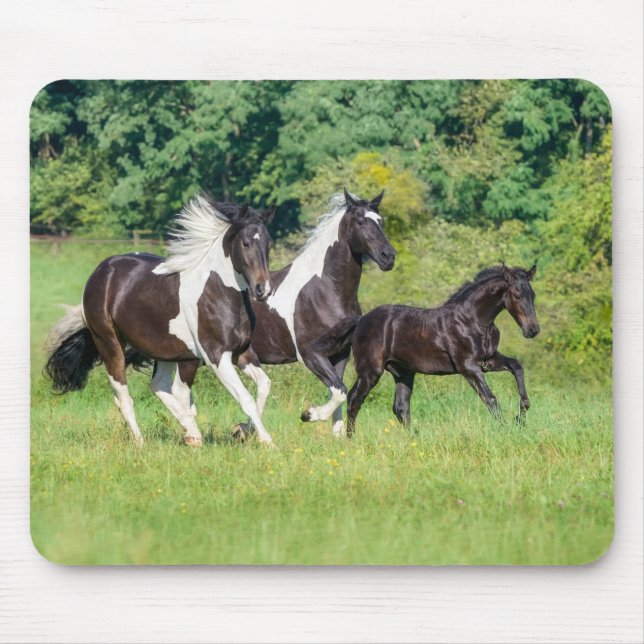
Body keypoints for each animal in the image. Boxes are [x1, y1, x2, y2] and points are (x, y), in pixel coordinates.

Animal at [45, 194, 277, 447]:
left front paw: (242, 430)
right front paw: (268, 442)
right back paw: (143, 443)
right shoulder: (216, 356)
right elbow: (245, 397)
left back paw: (191, 434)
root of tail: (101, 271)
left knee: (159, 386)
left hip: (167, 350)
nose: (263, 290)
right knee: (125, 396)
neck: (218, 292)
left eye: (268, 244)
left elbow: (264, 387)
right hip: (109, 343)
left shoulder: (242, 351)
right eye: (245, 243)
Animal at [233, 188, 397, 439]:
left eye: (381, 221)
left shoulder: (340, 353)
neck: (324, 289)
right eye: (361, 222)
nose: (389, 257)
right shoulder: (310, 354)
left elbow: (338, 390)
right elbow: (339, 391)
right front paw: (309, 414)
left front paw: (338, 436)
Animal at [346, 264, 540, 436]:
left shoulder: (488, 360)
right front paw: (507, 431)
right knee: (354, 399)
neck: (472, 320)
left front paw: (520, 419)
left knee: (400, 407)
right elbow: (491, 399)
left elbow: (516, 367)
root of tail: (361, 321)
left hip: (403, 372)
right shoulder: (468, 367)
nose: (533, 330)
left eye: (533, 295)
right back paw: (350, 439)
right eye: (517, 294)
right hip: (370, 371)